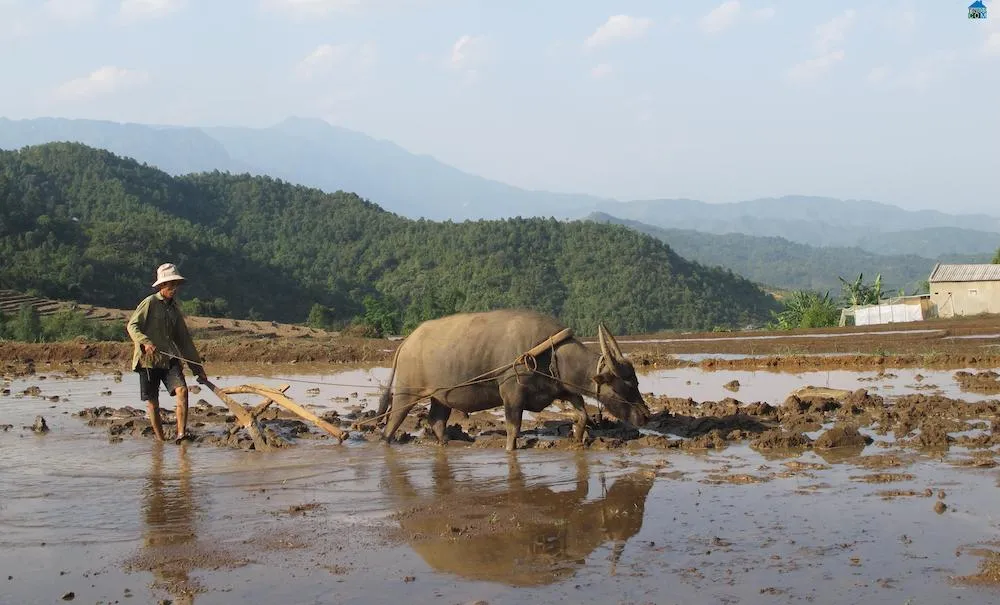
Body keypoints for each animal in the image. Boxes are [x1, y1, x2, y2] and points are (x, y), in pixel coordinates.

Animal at [378, 312, 652, 448]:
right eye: (626, 385)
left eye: (637, 382)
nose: (646, 416)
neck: (550, 354)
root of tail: (408, 341)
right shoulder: (511, 395)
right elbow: (513, 429)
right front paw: (511, 450)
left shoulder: (562, 389)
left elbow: (582, 414)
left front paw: (577, 438)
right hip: (406, 394)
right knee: (392, 423)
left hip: (441, 396)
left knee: (436, 421)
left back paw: (446, 443)